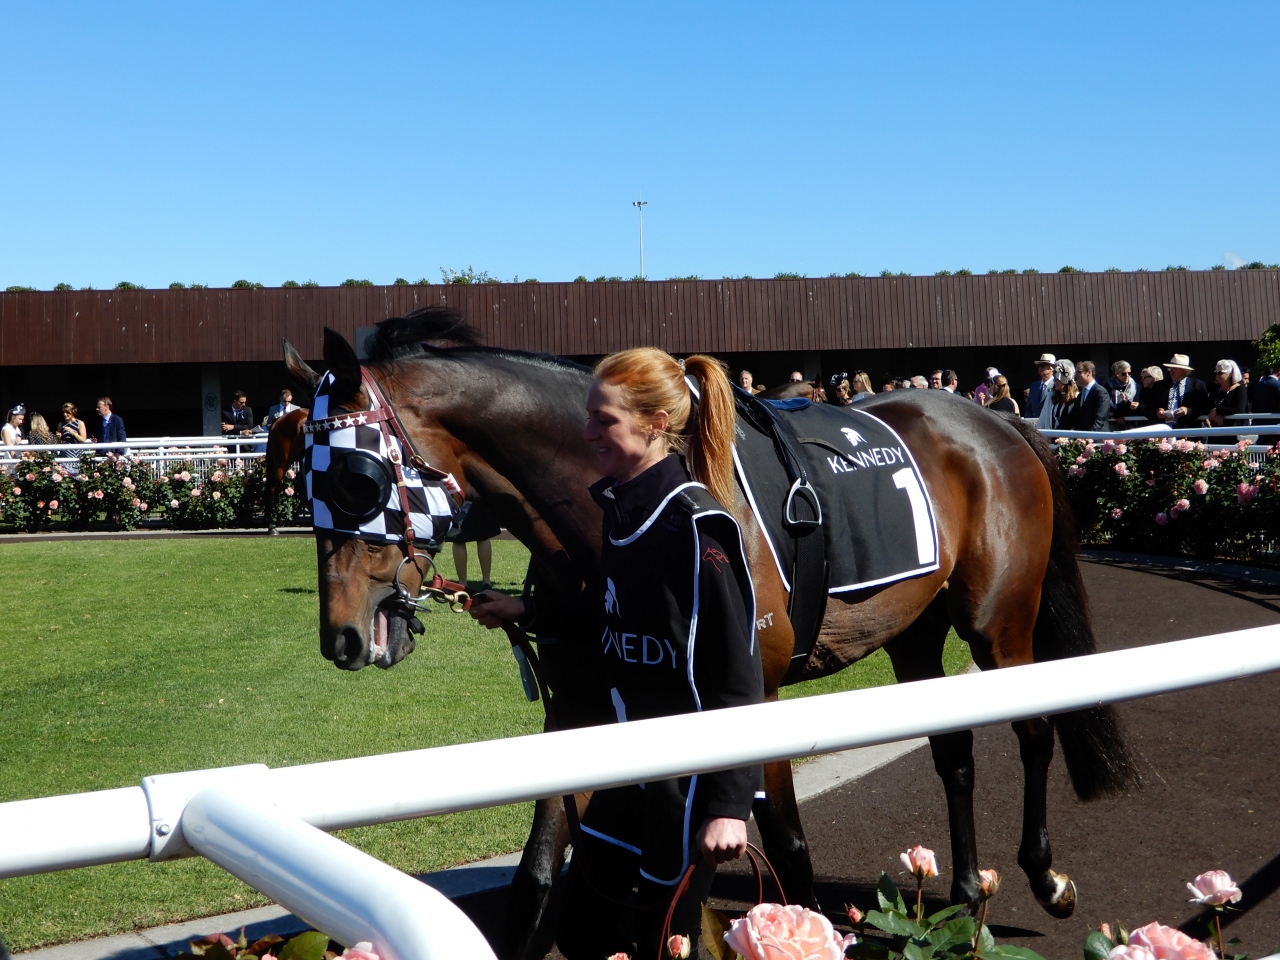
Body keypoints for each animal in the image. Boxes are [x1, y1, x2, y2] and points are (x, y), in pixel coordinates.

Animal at [282, 316, 1141, 960]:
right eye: (300, 476)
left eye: (355, 478)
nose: (344, 638)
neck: (612, 515)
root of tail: (993, 417)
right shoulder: (579, 707)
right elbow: (538, 878)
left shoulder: (748, 693)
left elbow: (784, 850)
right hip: (917, 631)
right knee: (953, 750)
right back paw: (962, 897)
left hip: (998, 621)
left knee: (1034, 730)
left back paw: (1043, 878)